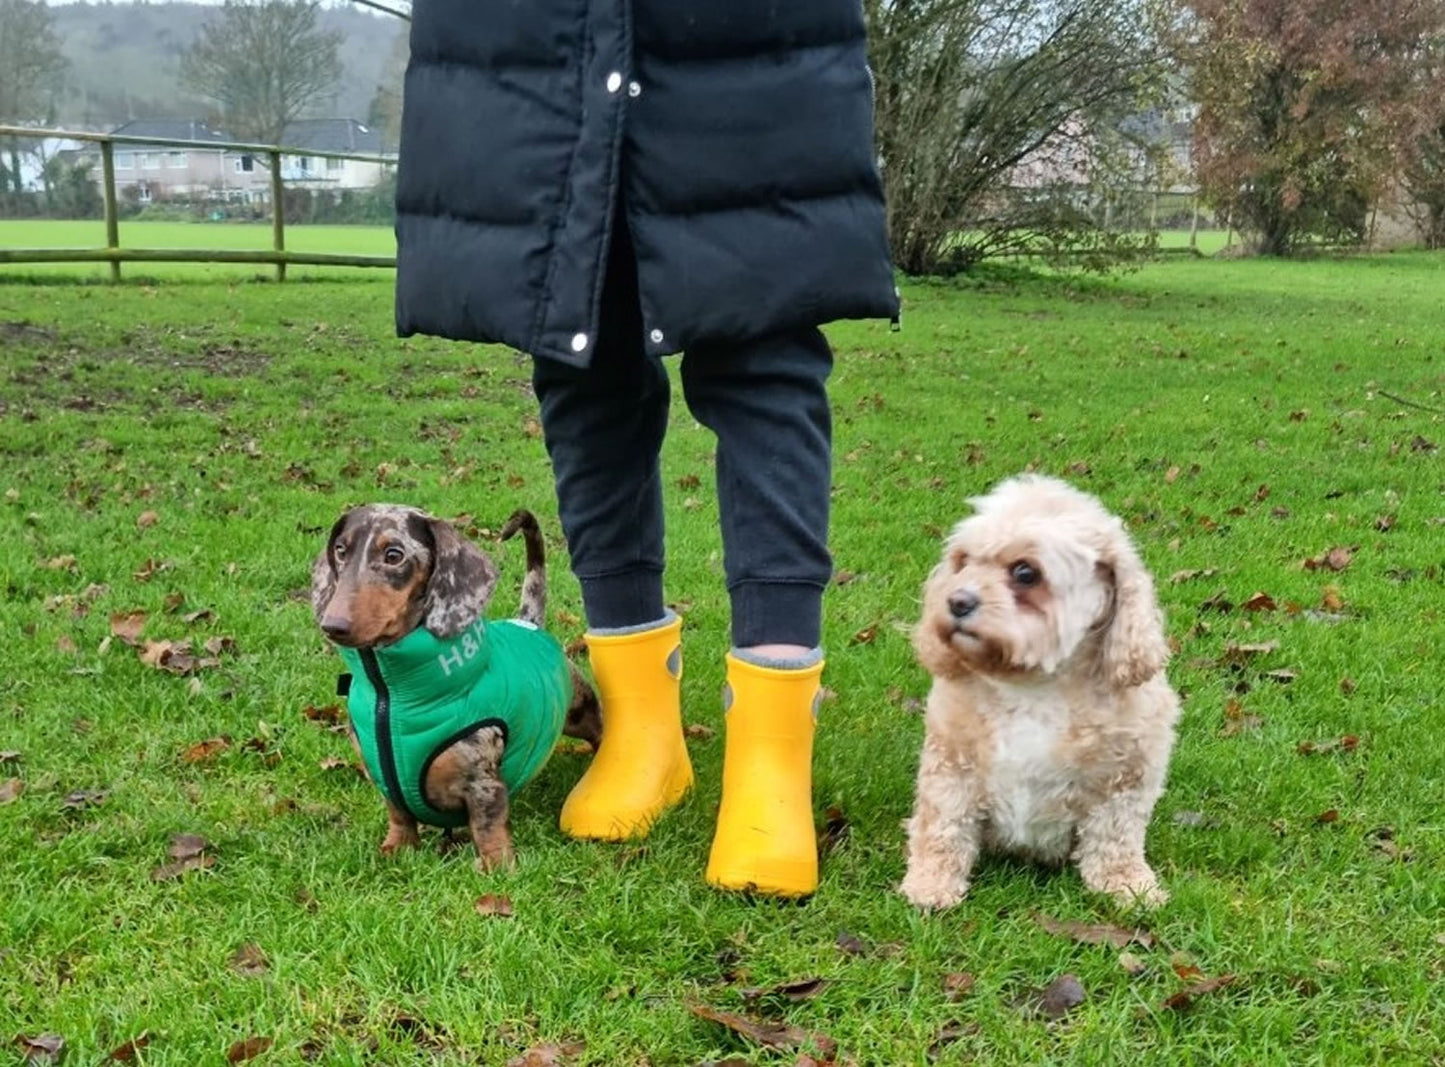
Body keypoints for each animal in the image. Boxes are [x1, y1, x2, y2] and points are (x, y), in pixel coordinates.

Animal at [895, 474, 1179, 907]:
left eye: (1025, 573)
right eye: (963, 561)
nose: (956, 601)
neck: (1033, 686)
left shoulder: (1124, 776)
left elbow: (1116, 837)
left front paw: (1128, 886)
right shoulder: (951, 766)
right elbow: (943, 828)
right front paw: (930, 884)